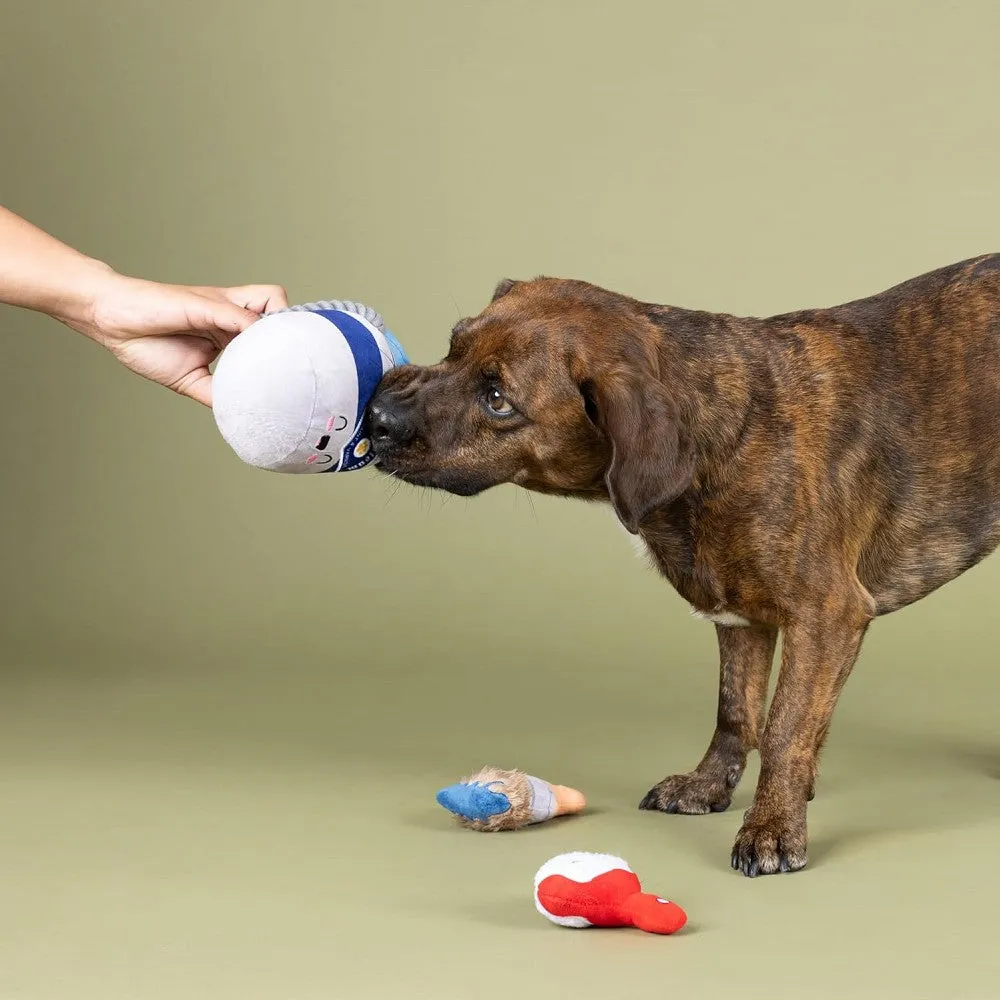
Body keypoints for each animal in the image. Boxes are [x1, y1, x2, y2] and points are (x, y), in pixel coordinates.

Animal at [366, 258, 1000, 876]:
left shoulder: (827, 615)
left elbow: (786, 725)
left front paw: (772, 825)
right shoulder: (741, 617)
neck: (730, 430)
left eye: (498, 397)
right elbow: (737, 711)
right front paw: (712, 786)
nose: (375, 416)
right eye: (453, 345)